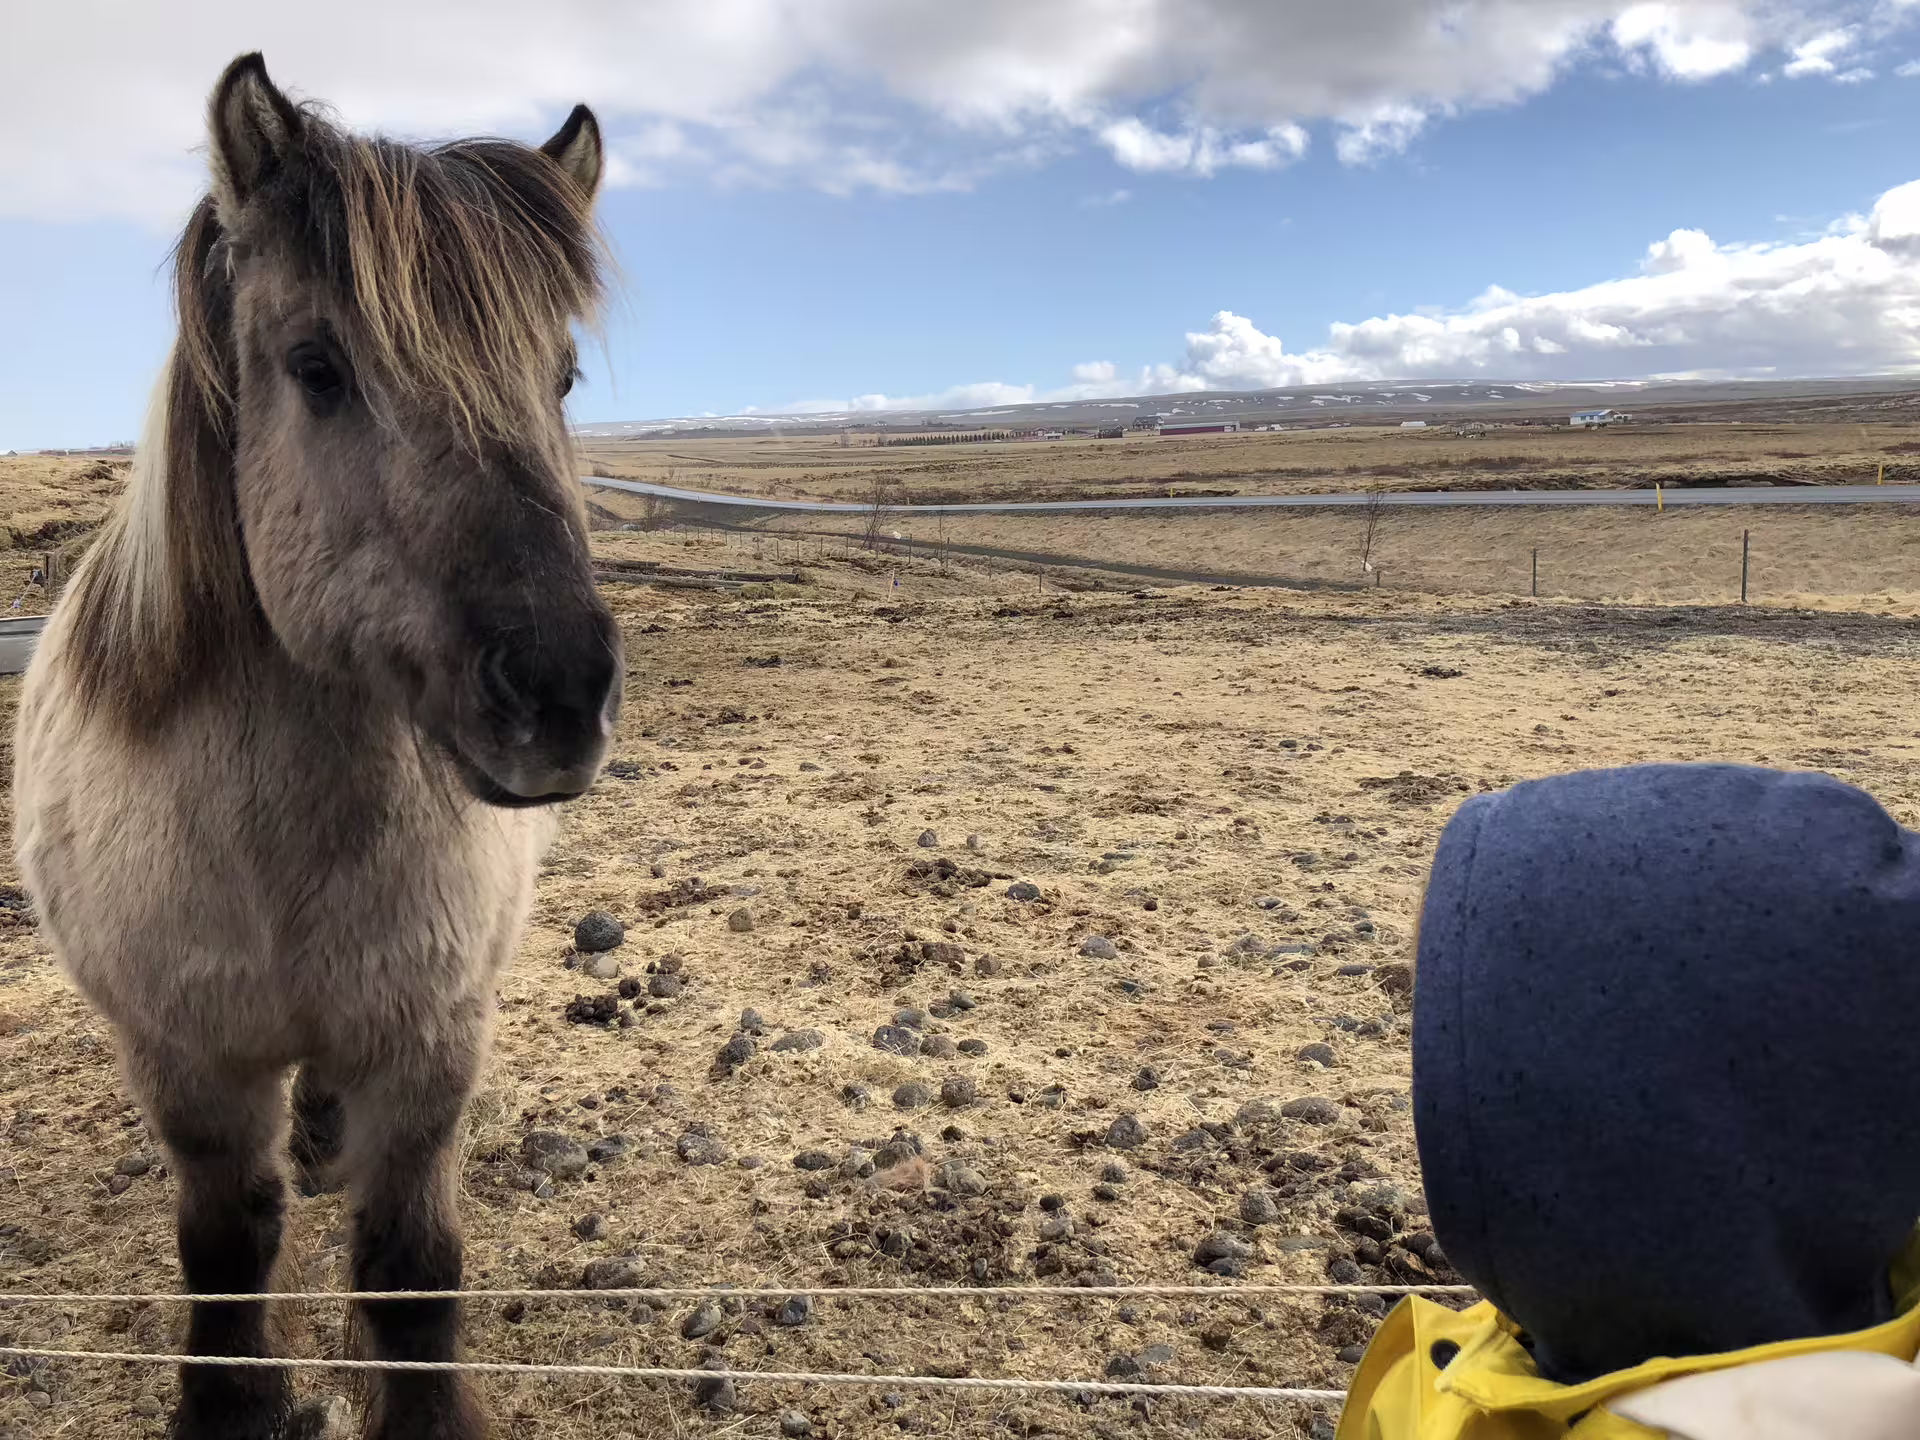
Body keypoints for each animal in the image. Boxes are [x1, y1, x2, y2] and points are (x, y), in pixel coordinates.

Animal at [13, 54, 620, 1440]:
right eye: (316, 365)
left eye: (560, 376)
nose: (560, 696)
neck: (278, 855)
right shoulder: (188, 1063)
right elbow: (228, 1249)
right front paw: (232, 1404)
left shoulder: (431, 1046)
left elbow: (410, 1271)